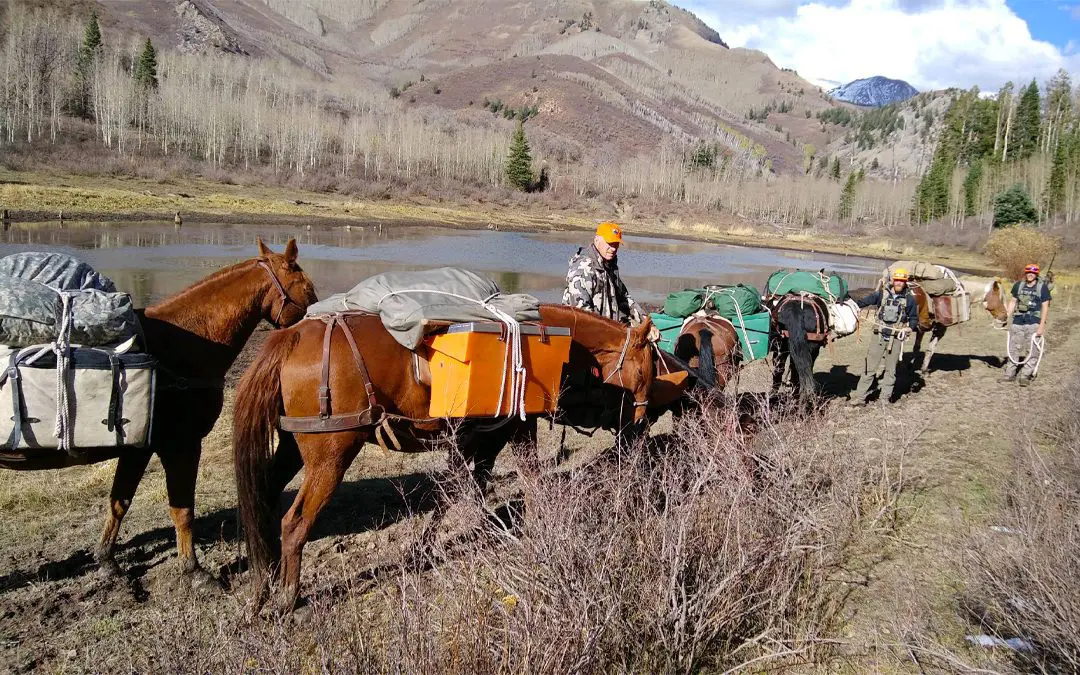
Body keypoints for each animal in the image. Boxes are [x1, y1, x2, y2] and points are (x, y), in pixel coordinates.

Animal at [0, 240, 317, 578]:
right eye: (307, 288)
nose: (318, 319)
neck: (187, 341)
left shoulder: (139, 448)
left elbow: (119, 502)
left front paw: (107, 561)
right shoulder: (182, 445)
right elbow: (182, 509)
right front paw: (194, 571)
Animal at [235, 302, 652, 609]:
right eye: (645, 372)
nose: (641, 419)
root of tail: (293, 336)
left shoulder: (483, 435)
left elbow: (460, 488)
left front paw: (442, 542)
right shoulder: (515, 428)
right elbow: (522, 477)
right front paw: (537, 527)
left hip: (294, 448)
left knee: (264, 503)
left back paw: (265, 583)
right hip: (331, 456)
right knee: (295, 522)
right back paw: (287, 598)